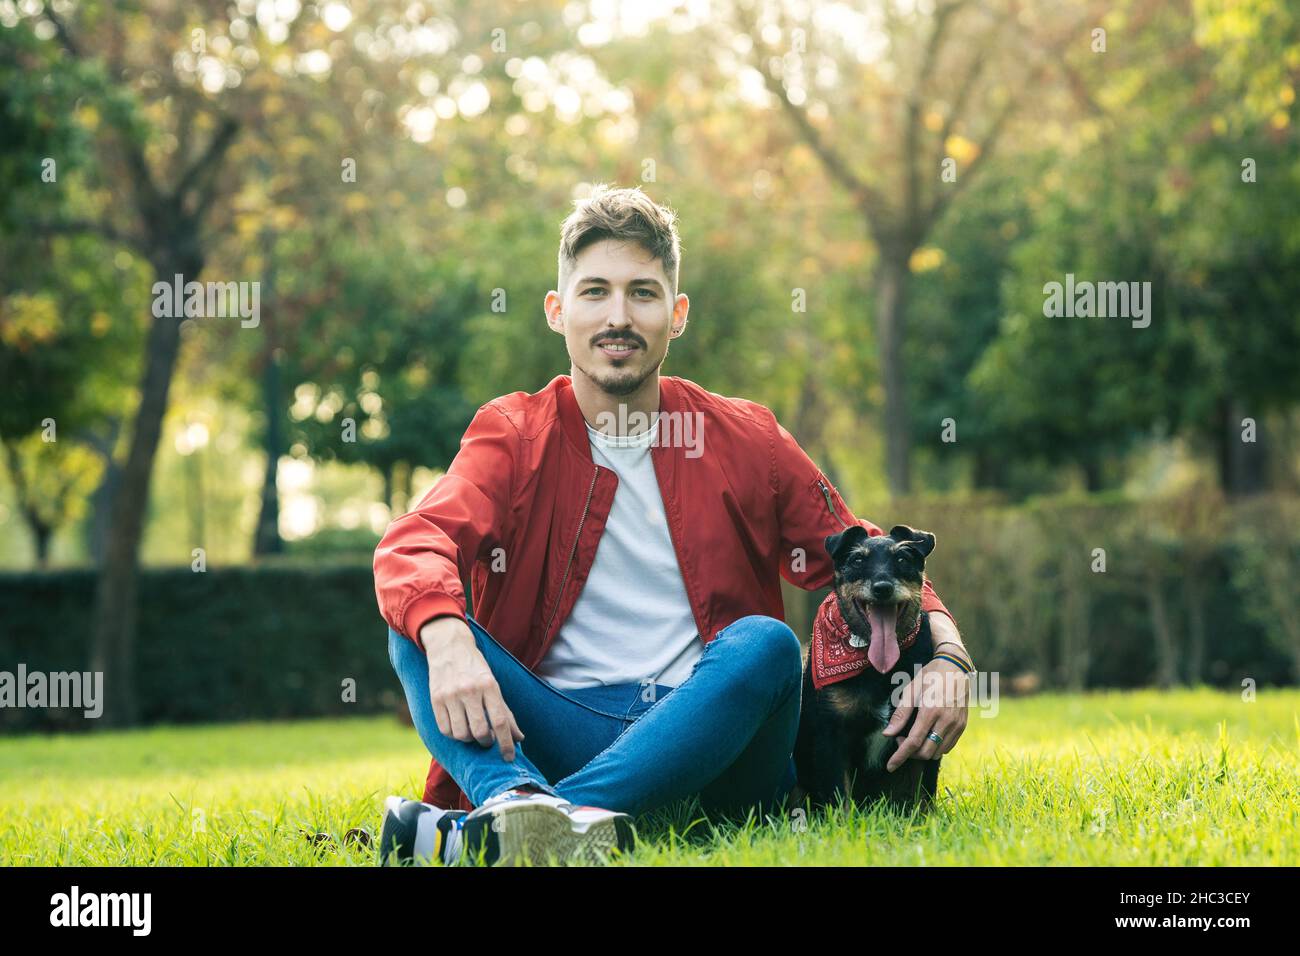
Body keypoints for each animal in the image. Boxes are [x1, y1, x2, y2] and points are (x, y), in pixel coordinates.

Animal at [785, 522, 941, 816]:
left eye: (902, 558)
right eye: (857, 560)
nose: (882, 588)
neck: (880, 668)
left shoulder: (922, 734)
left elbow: (923, 794)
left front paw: (925, 822)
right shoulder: (831, 736)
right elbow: (839, 798)